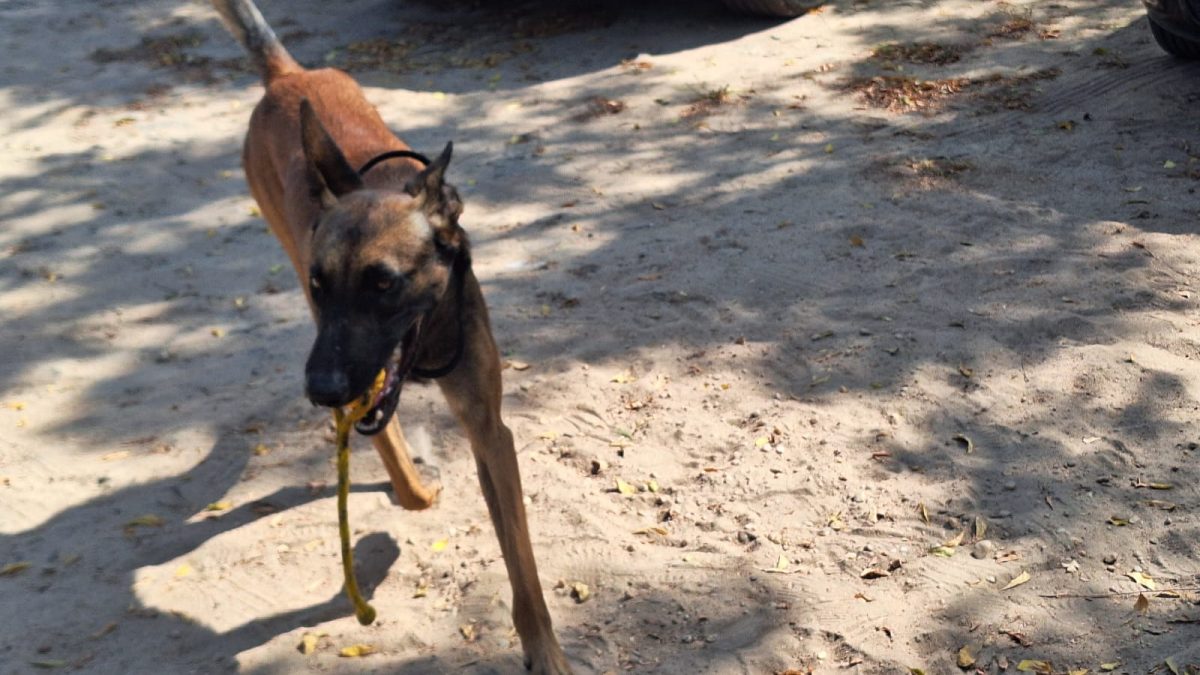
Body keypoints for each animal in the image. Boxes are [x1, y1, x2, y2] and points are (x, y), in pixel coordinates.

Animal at [212, 0, 571, 667]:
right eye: (323, 284)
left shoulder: (490, 431)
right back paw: (412, 491)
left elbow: (522, 566)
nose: (322, 389)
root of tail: (286, 76)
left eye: (384, 283)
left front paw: (546, 652)